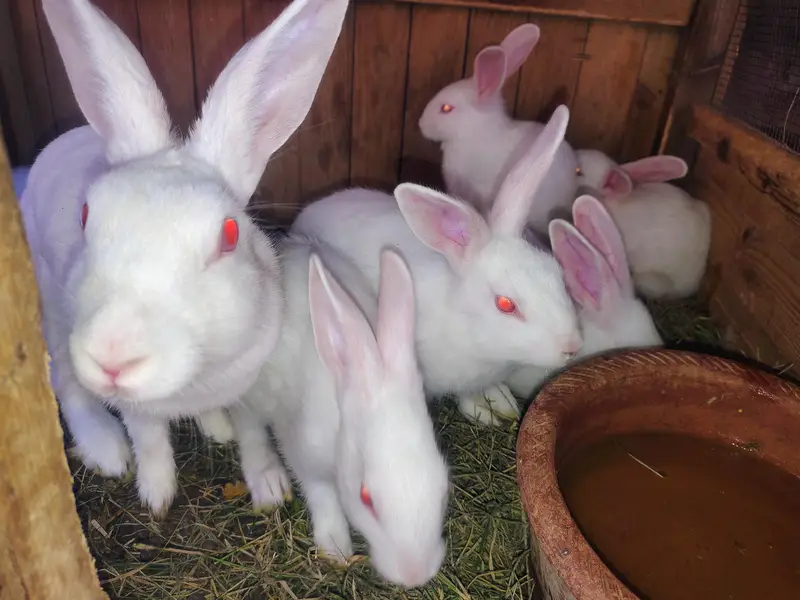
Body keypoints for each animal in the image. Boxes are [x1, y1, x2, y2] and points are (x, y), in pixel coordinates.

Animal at [19, 0, 350, 514]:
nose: (112, 358)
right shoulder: (137, 408)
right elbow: (151, 442)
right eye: (86, 215)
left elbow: (252, 434)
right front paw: (157, 496)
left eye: (229, 234)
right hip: (54, 313)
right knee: (66, 384)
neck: (195, 379)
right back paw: (106, 448)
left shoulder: (249, 382)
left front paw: (264, 479)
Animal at [230, 243, 449, 588]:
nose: (415, 575)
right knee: (245, 423)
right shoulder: (304, 451)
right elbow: (322, 493)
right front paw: (335, 549)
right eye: (366, 497)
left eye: (443, 487)